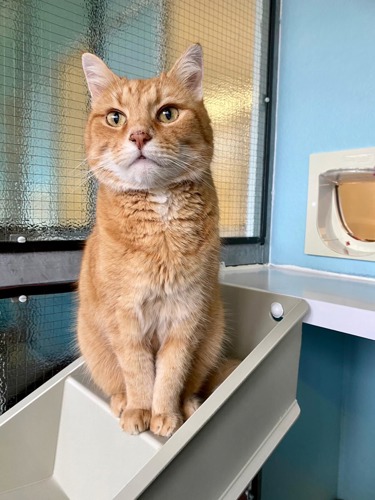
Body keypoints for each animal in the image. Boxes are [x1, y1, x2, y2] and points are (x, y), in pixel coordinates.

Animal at [77, 46, 229, 438]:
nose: (139, 136)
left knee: (190, 384)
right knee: (117, 383)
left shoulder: (187, 316)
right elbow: (138, 371)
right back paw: (121, 403)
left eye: (168, 113)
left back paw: (189, 405)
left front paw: (165, 415)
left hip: (211, 335)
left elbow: (171, 373)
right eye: (115, 118)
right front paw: (140, 412)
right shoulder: (124, 319)